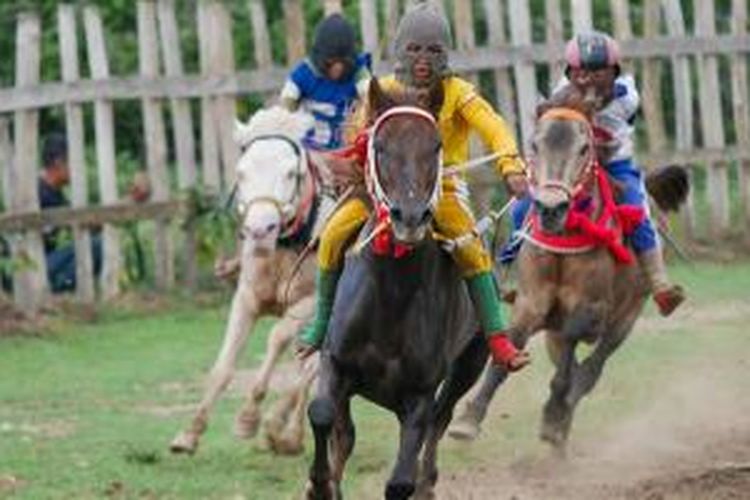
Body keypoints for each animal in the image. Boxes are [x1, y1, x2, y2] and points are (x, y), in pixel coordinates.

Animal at [173, 107, 334, 456]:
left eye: (291, 173)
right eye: (242, 172)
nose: (260, 230)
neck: (286, 247)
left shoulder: (310, 303)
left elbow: (277, 338)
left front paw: (248, 417)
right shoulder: (245, 298)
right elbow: (223, 367)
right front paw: (189, 434)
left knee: (311, 367)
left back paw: (280, 426)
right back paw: (289, 434)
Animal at [302, 80, 490, 498]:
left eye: (435, 145)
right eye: (382, 147)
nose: (411, 216)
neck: (392, 296)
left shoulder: (418, 394)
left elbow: (402, 478)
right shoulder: (335, 361)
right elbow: (321, 413)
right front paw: (320, 485)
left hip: (471, 362)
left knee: (441, 418)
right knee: (344, 433)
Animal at [450, 107, 692, 452]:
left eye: (583, 148)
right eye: (534, 144)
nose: (551, 208)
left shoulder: (592, 307)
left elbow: (571, 347)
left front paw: (554, 413)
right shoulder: (531, 302)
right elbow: (510, 348)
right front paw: (469, 419)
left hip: (626, 318)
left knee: (591, 368)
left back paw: (562, 413)